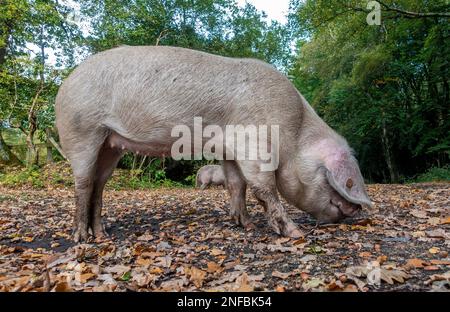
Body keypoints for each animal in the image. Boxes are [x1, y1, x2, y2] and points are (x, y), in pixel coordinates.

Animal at [55, 45, 372, 243]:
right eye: (336, 181)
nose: (356, 211)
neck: (293, 135)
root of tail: (64, 84)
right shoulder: (253, 142)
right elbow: (264, 187)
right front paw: (295, 234)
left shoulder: (228, 150)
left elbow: (236, 185)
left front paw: (245, 225)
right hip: (82, 130)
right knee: (83, 183)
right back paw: (81, 238)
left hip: (111, 144)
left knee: (99, 184)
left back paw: (103, 234)